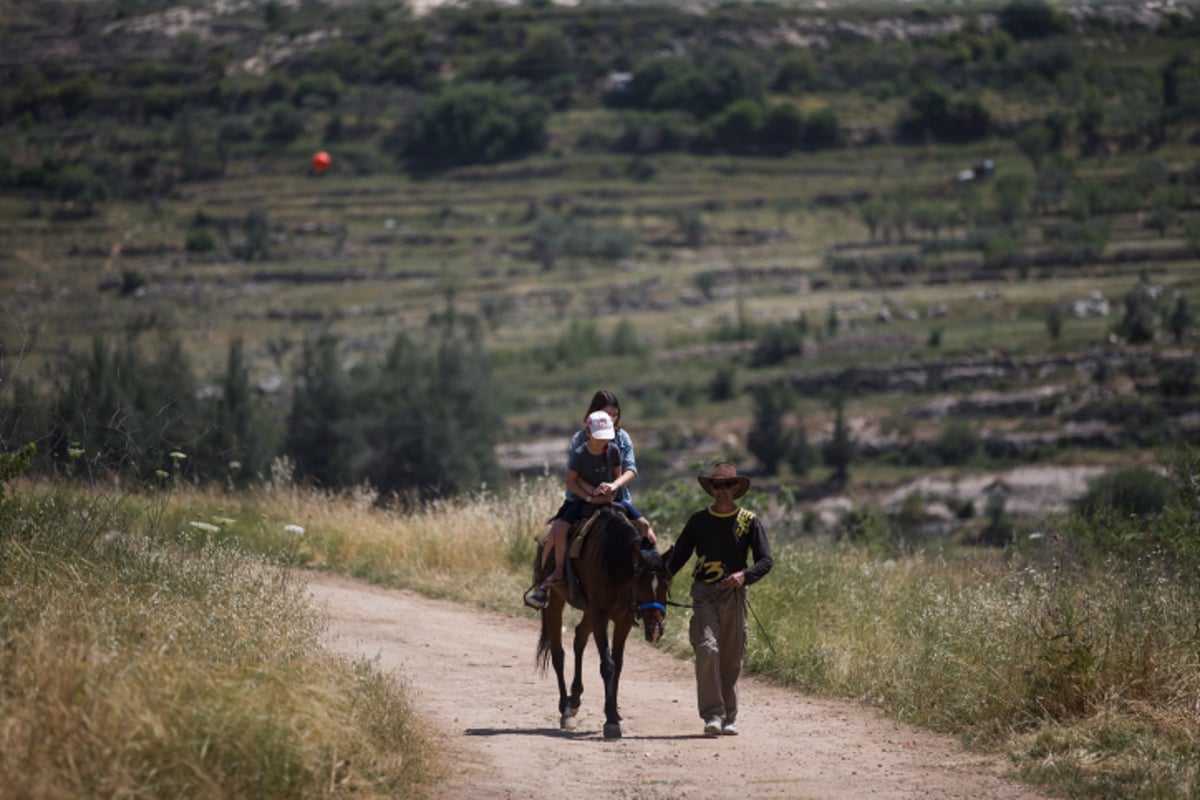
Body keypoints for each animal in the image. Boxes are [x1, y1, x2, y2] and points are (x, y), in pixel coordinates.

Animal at [537, 503, 676, 743]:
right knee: (558, 654)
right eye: (641, 584)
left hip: (588, 612)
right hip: (555, 603)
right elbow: (607, 665)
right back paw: (566, 710)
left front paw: (616, 716)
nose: (656, 631)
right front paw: (611, 721)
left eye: (666, 584)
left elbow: (618, 665)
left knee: (579, 638)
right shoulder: (600, 615)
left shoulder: (622, 619)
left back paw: (575, 699)